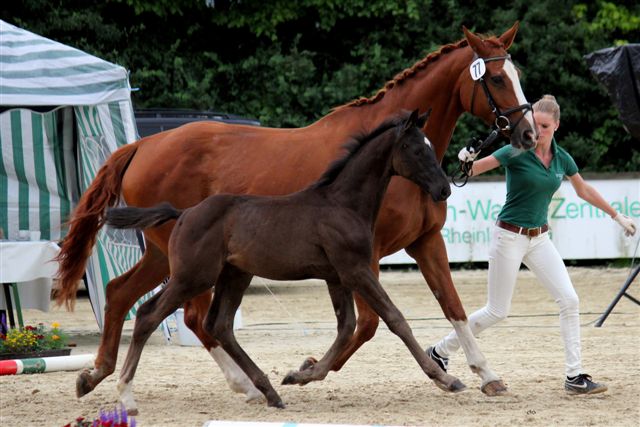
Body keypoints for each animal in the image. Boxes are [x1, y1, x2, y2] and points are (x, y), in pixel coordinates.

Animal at [105, 110, 463, 412]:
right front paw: (446, 379)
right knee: (149, 315)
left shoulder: (336, 276)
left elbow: (346, 327)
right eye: (416, 150)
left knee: (218, 324)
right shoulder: (355, 270)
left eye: (431, 147)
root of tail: (184, 213)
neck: (342, 204)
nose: (443, 190)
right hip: (193, 276)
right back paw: (125, 394)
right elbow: (395, 319)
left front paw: (300, 374)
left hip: (234, 275)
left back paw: (269, 392)